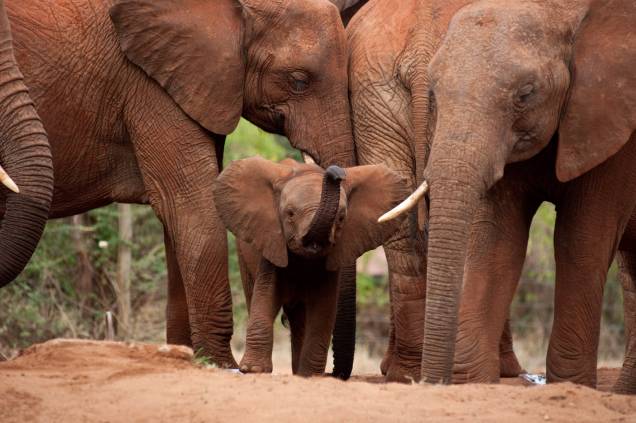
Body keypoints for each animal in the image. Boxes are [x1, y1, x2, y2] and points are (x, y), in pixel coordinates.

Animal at [3, 0, 362, 370]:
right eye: (299, 81)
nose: (334, 172)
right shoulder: (148, 84)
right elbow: (193, 206)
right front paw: (221, 366)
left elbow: (178, 222)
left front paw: (183, 355)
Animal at [215, 159, 408, 378]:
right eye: (290, 214)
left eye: (341, 218)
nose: (337, 172)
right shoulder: (272, 245)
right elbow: (266, 295)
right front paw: (253, 370)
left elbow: (323, 308)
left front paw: (310, 375)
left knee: (300, 319)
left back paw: (299, 372)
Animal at [382, 0, 636, 386]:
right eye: (433, 94)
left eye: (526, 94)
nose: (428, 381)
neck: (564, 13)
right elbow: (498, 239)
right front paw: (473, 380)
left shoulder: (614, 129)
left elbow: (580, 238)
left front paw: (571, 384)